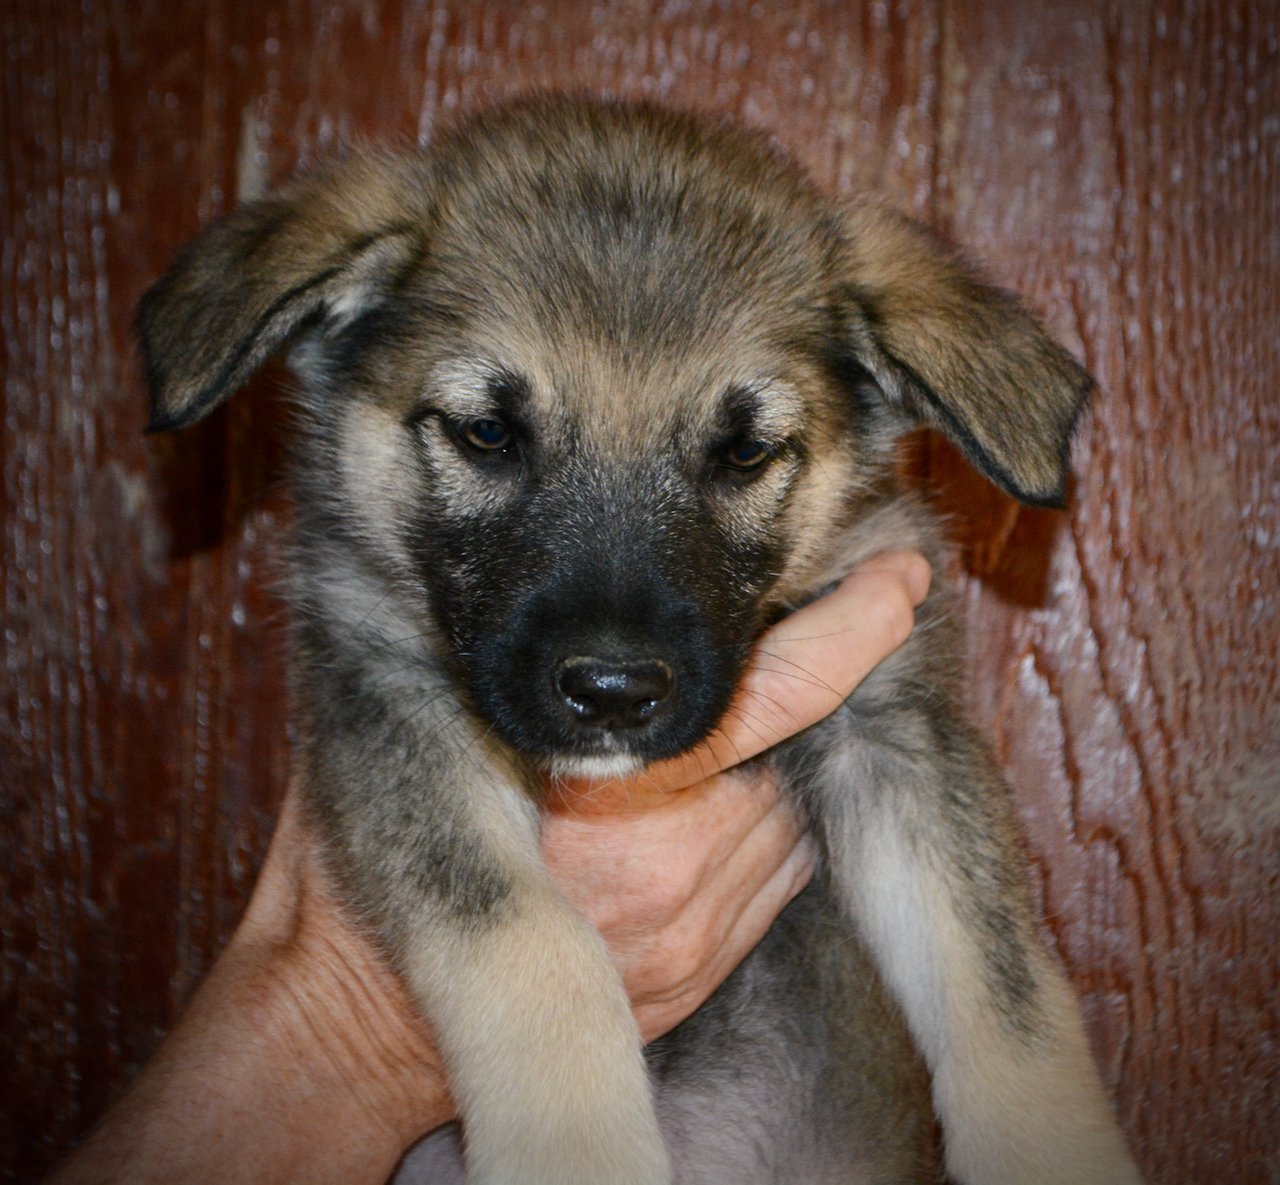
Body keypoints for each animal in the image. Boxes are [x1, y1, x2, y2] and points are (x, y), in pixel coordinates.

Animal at [137, 97, 1141, 1182]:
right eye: (487, 433)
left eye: (744, 451)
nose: (612, 694)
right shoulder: (390, 710)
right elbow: (530, 941)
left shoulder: (892, 733)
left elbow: (1007, 991)